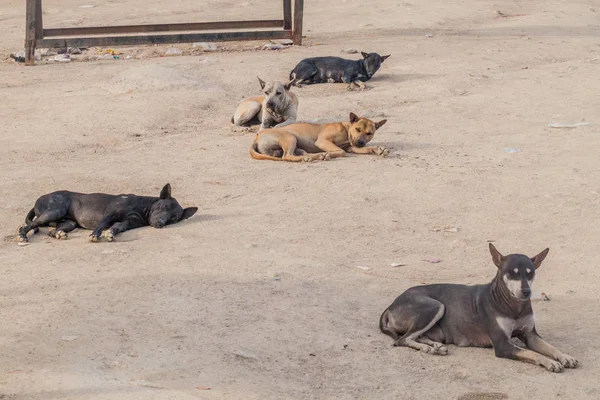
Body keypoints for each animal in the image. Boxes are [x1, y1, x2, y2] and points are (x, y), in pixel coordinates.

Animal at [17, 183, 197, 242]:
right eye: (164, 207)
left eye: (173, 219)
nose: (160, 224)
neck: (140, 208)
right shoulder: (108, 215)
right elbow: (101, 225)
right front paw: (95, 235)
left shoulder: (127, 223)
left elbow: (117, 227)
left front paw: (111, 233)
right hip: (54, 210)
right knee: (28, 225)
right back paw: (23, 236)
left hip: (69, 222)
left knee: (53, 230)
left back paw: (59, 233)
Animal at [250, 111, 386, 162]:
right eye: (357, 129)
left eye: (369, 133)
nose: (360, 142)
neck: (346, 129)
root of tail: (256, 137)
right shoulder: (322, 141)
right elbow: (341, 151)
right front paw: (330, 154)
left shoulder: (352, 147)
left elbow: (365, 149)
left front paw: (378, 149)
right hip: (290, 138)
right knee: (287, 156)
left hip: (295, 145)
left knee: (300, 154)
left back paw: (316, 156)